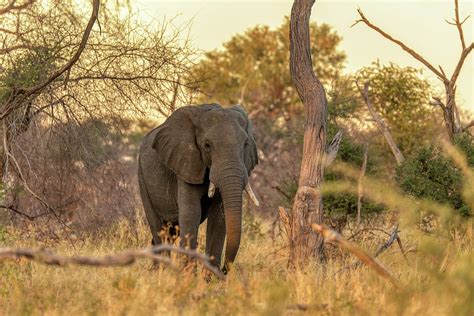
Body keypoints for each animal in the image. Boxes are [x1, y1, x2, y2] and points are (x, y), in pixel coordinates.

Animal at [138, 104, 260, 274]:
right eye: (207, 145)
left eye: (246, 144)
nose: (224, 270)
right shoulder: (185, 162)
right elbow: (191, 212)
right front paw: (188, 275)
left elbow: (219, 216)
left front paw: (210, 277)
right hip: (142, 176)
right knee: (158, 228)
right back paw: (163, 272)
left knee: (170, 231)